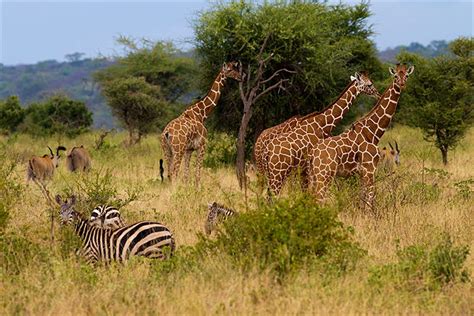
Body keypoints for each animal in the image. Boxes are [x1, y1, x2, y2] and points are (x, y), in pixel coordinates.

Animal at [310, 63, 412, 210]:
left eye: (407, 75)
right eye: (396, 76)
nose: (402, 84)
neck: (373, 132)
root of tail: (313, 154)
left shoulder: (362, 173)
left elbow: (362, 199)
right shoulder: (370, 169)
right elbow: (370, 198)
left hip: (313, 175)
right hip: (324, 174)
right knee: (319, 198)